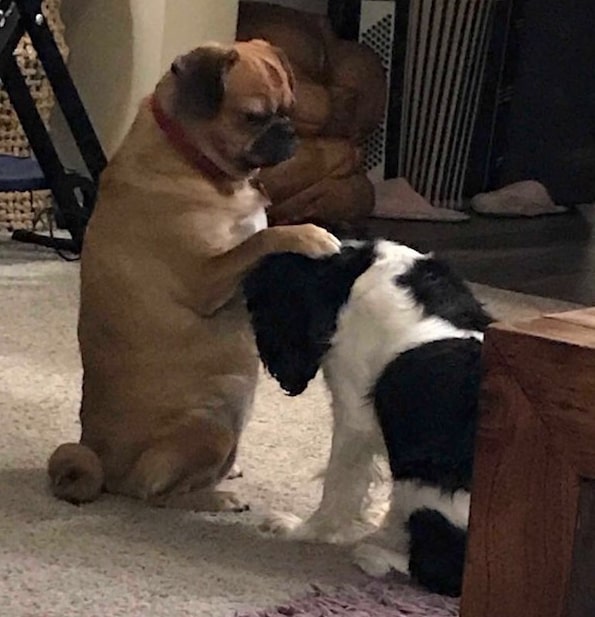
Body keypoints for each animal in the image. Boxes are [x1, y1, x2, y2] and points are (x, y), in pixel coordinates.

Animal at [47, 39, 340, 510]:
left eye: (289, 110)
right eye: (253, 117)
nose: (288, 132)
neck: (193, 158)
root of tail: (106, 470)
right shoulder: (205, 277)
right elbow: (262, 238)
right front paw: (310, 235)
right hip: (212, 430)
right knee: (159, 495)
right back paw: (216, 497)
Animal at [243, 238, 494, 596]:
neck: (354, 271)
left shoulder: (352, 422)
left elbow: (337, 488)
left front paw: (301, 530)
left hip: (425, 491)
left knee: (438, 569)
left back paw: (374, 555)